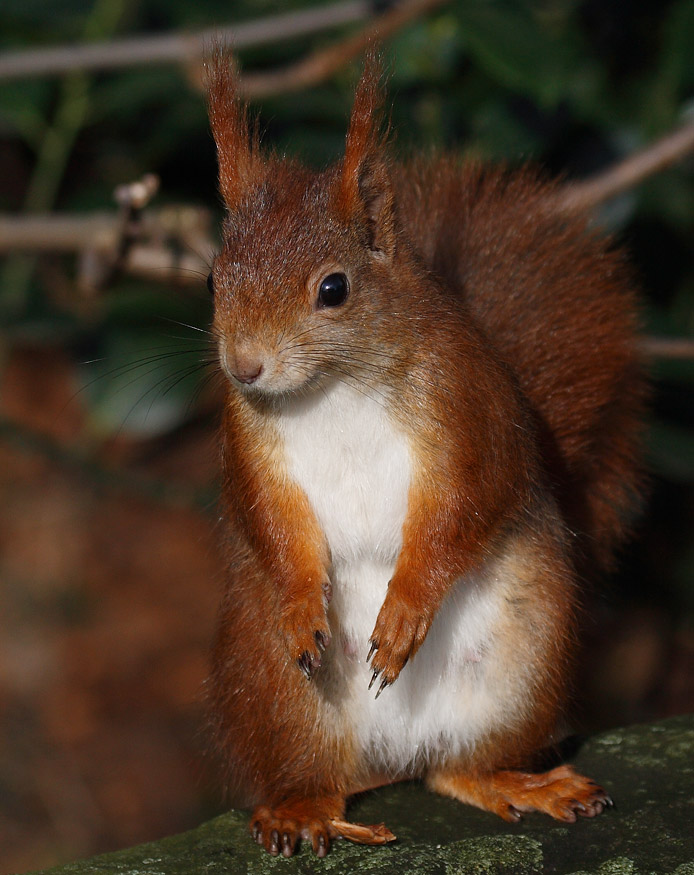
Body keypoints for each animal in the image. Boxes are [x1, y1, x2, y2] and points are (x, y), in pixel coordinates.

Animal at [205, 51, 648, 860]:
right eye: (212, 279)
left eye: (334, 288)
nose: (244, 366)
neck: (332, 387)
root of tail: (393, 756)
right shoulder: (250, 444)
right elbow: (271, 523)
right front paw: (302, 602)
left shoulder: (466, 410)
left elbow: (462, 507)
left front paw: (406, 608)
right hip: (276, 688)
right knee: (314, 772)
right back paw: (301, 810)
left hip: (525, 660)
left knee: (455, 769)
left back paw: (520, 784)